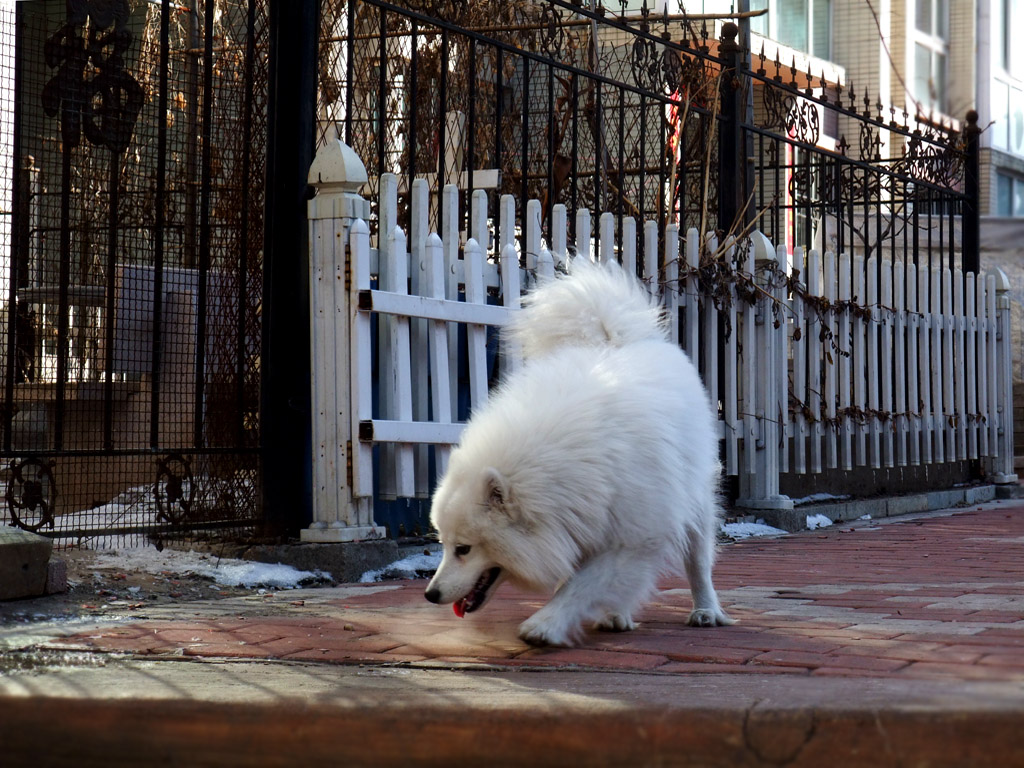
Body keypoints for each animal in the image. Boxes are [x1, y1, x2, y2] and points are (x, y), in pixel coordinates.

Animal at [423, 260, 737, 651]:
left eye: (463, 549)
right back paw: (616, 615)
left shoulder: (633, 535)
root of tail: (618, 339)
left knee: (698, 561)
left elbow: (582, 584)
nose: (430, 595)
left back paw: (705, 610)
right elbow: (576, 580)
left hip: (694, 501)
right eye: (443, 544)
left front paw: (544, 624)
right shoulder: (577, 522)